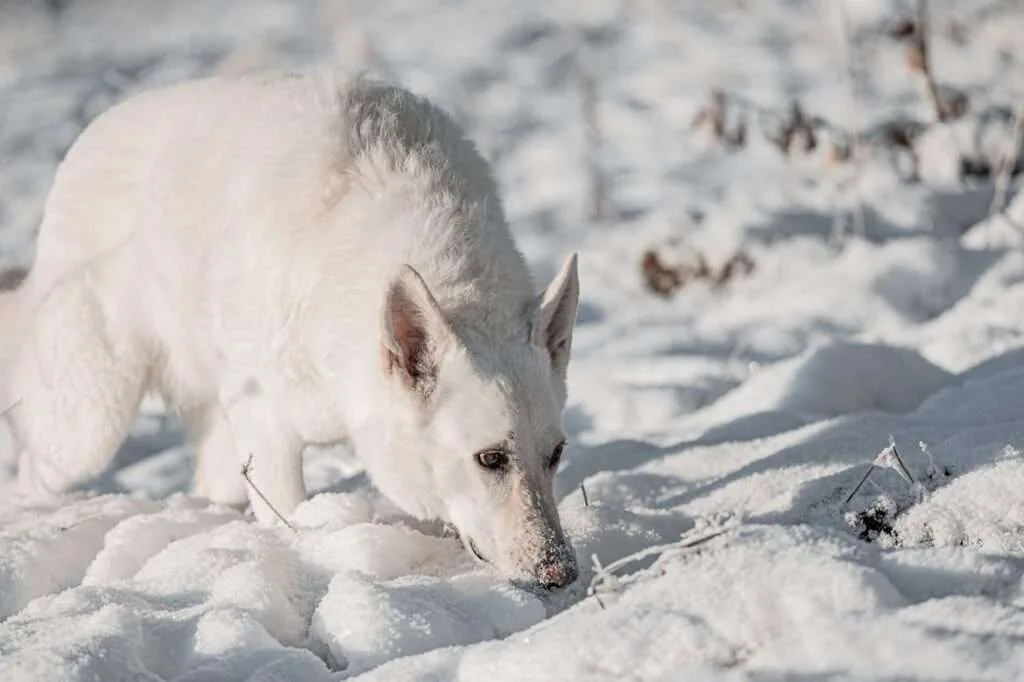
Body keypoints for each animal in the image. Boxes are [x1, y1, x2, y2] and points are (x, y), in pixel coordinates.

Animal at [6, 71, 585, 585]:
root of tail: (91, 135)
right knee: (33, 467)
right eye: (491, 459)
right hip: (89, 426)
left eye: (556, 454)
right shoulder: (268, 427)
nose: (560, 574)